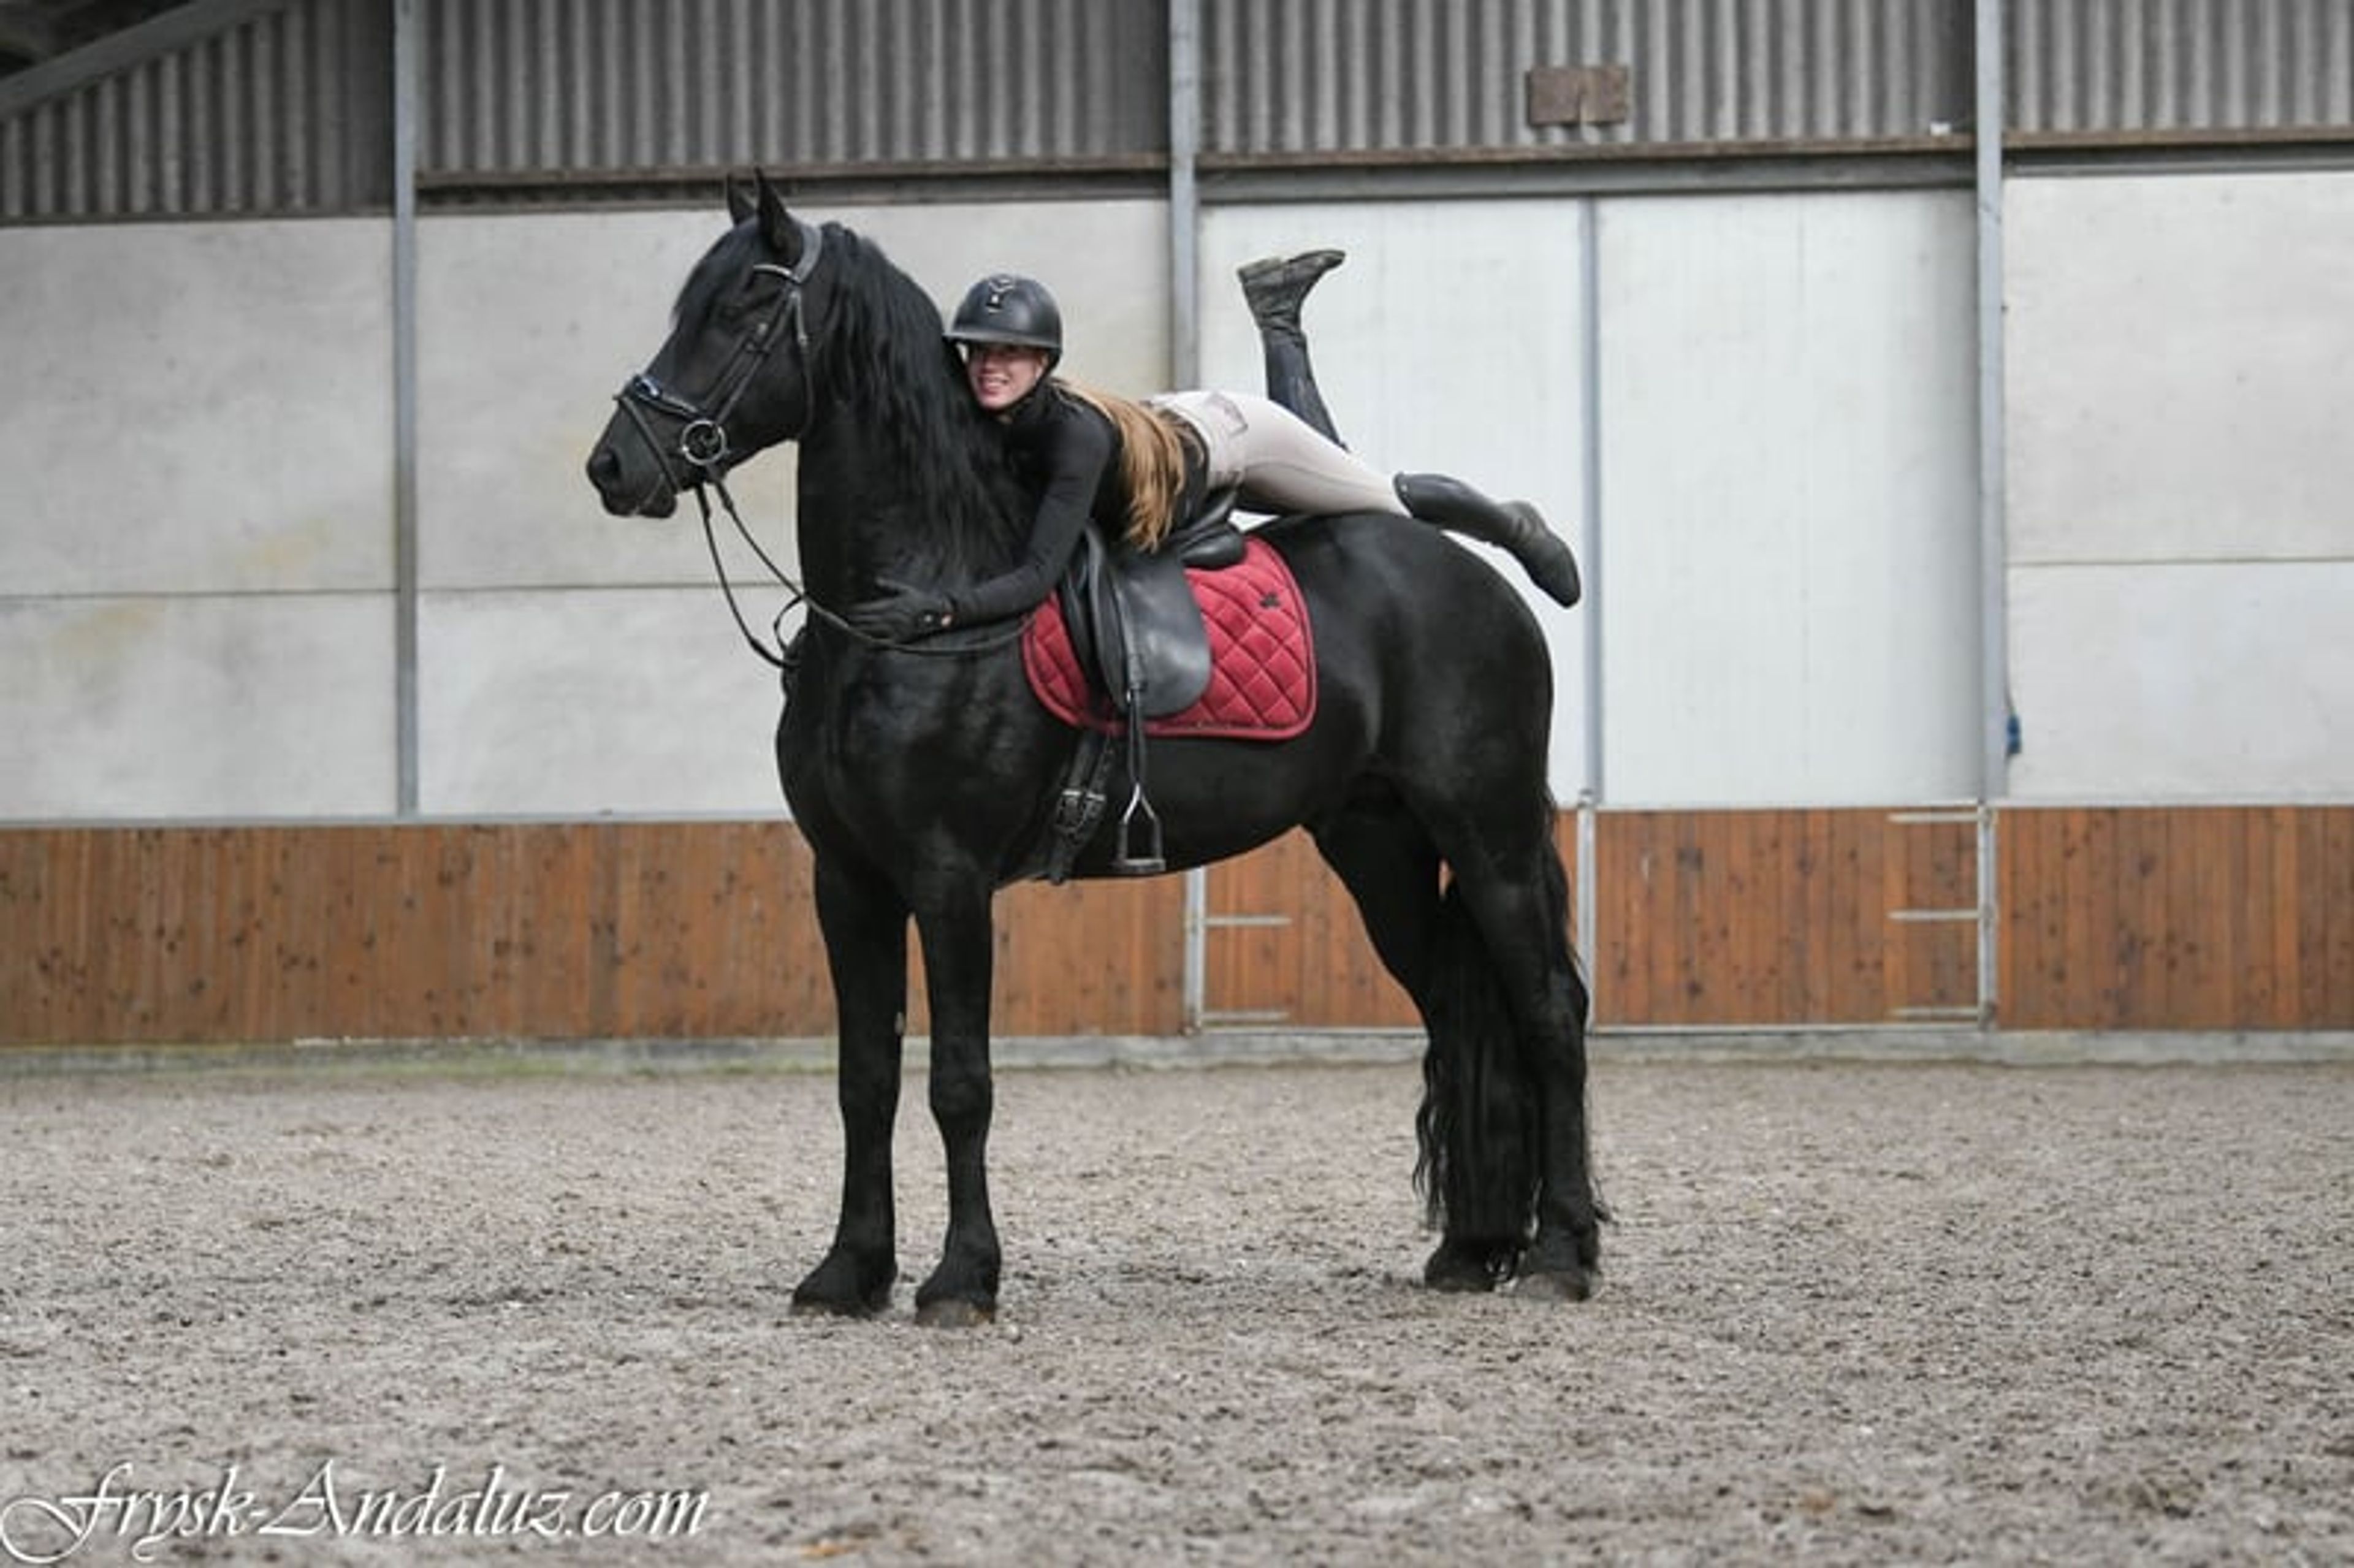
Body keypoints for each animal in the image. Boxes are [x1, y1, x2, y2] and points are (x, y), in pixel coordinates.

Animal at [585, 173, 1601, 1325]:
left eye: (745, 308)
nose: (615, 462)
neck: (906, 611)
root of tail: (1474, 582)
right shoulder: (847, 879)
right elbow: (865, 1079)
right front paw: (848, 1270)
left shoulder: (947, 876)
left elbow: (960, 1082)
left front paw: (960, 1278)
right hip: (1378, 847)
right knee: (1455, 1009)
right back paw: (1474, 1247)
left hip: (1491, 833)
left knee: (1549, 1013)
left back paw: (1561, 1252)